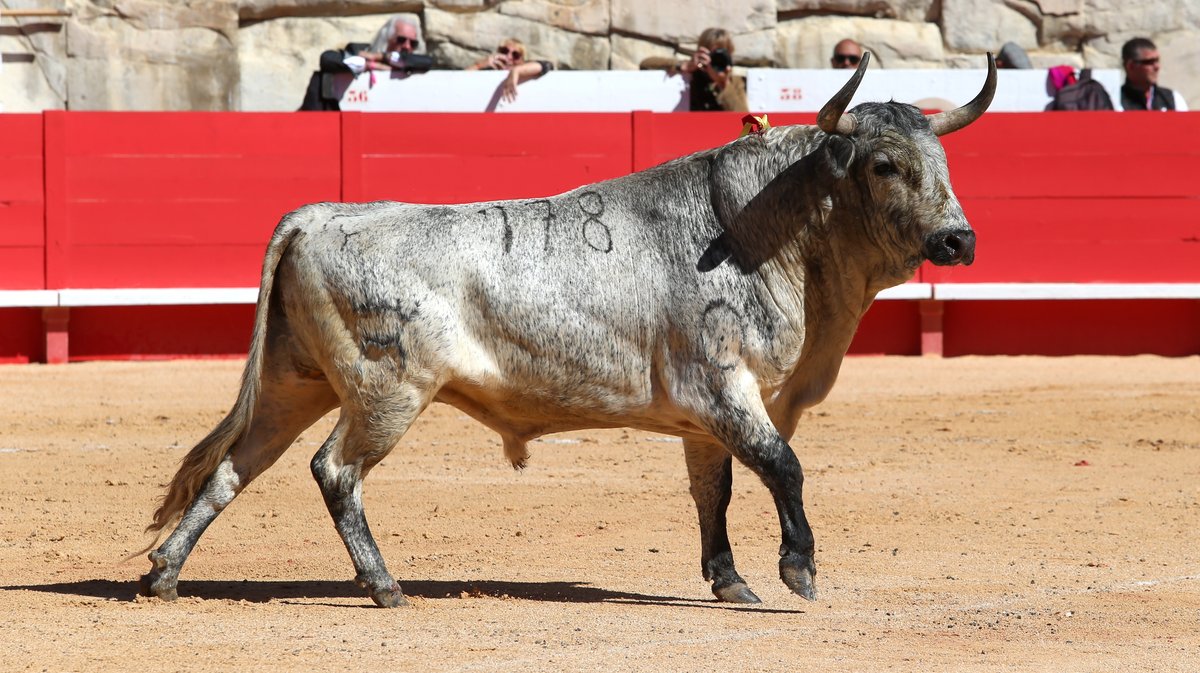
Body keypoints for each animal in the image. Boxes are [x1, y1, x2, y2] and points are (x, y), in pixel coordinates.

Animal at [138, 55, 993, 607]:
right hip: (388, 390)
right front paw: (799, 571)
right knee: (334, 471)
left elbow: (711, 489)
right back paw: (384, 585)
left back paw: (164, 574)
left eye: (943, 160)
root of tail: (317, 214)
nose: (958, 240)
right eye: (884, 165)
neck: (756, 228)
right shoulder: (722, 386)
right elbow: (783, 465)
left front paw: (731, 580)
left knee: (232, 469)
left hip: (295, 383)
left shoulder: (704, 414)